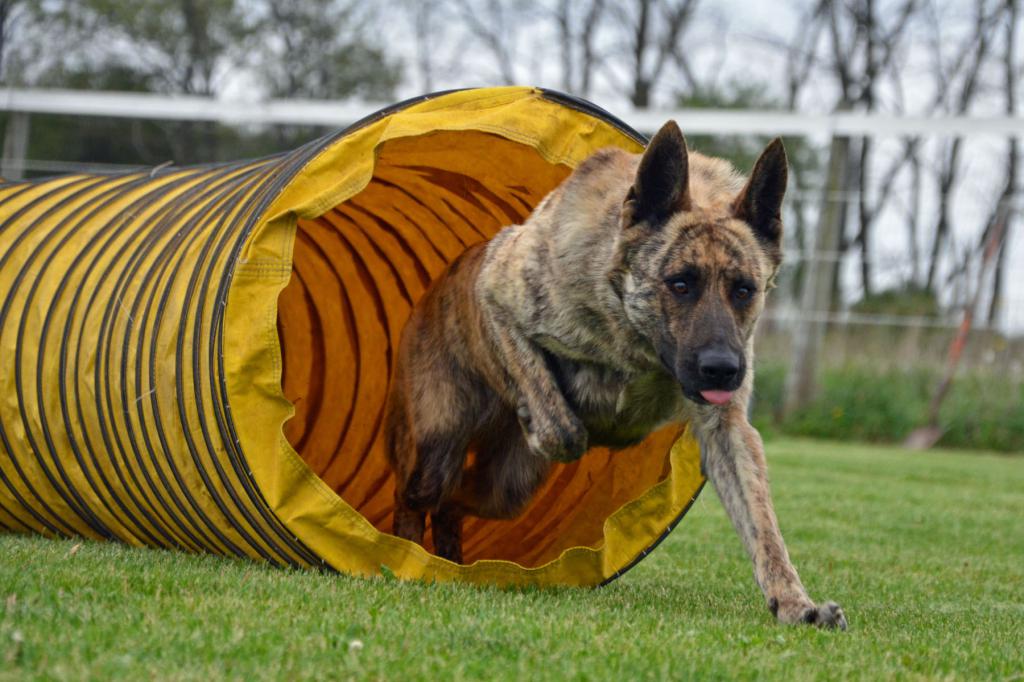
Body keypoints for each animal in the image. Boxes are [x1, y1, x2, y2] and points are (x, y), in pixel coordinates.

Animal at [384, 121, 846, 629]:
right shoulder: (498, 295)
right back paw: (402, 554)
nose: (723, 370)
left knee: (452, 504)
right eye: (680, 283)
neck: (636, 339)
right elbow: (561, 424)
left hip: (506, 488)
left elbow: (763, 525)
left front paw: (794, 601)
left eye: (744, 290)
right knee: (418, 497)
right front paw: (548, 418)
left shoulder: (728, 430)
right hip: (438, 449)